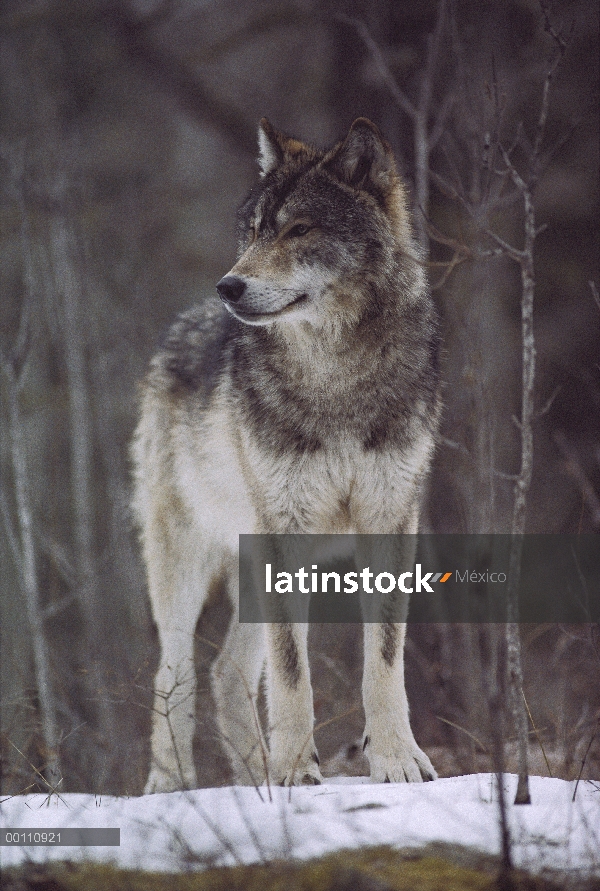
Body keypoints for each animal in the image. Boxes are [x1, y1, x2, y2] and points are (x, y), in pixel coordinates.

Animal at [131, 118, 440, 796]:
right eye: (252, 231)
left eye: (299, 229)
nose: (229, 285)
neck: (336, 377)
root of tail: (181, 323)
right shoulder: (285, 528)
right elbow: (293, 669)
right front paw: (298, 770)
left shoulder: (391, 519)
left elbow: (384, 658)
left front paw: (398, 762)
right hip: (185, 560)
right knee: (175, 671)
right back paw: (174, 784)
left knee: (227, 672)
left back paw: (255, 778)